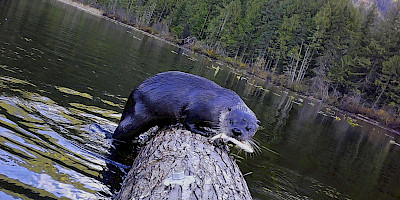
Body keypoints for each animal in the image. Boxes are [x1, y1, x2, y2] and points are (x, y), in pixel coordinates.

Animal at [112, 71, 260, 152]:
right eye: (231, 121)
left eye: (249, 128)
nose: (237, 131)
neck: (217, 104)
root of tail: (131, 97)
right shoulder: (195, 108)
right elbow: (189, 122)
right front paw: (203, 131)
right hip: (135, 117)